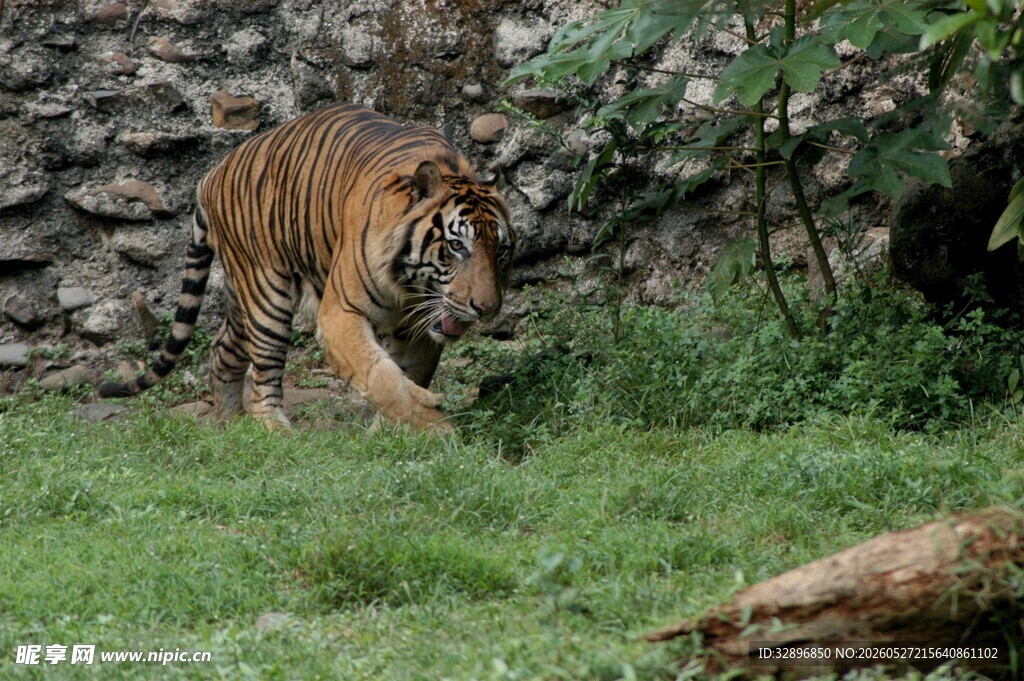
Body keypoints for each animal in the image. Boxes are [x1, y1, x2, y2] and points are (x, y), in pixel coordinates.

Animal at [98, 103, 515, 432]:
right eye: (456, 246)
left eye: (501, 252)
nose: (486, 308)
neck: (411, 285)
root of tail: (211, 175)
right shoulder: (340, 313)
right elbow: (381, 377)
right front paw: (435, 429)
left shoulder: (419, 328)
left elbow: (408, 375)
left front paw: (395, 430)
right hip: (266, 294)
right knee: (264, 372)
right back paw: (273, 429)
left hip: (240, 295)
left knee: (222, 350)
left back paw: (229, 422)